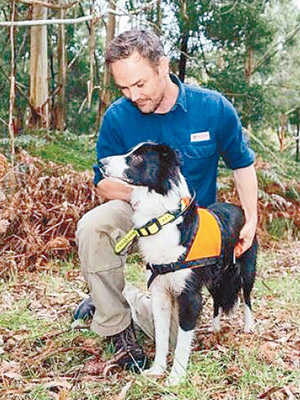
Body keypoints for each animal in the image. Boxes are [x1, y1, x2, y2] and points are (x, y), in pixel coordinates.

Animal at [99, 142, 258, 386]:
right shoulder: (159, 292)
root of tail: (239, 208)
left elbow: (183, 340)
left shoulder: (189, 296)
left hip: (247, 270)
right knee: (218, 300)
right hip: (216, 278)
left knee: (247, 297)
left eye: (137, 158)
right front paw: (157, 369)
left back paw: (249, 326)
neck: (161, 219)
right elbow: (162, 336)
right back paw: (215, 326)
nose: (100, 163)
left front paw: (176, 376)